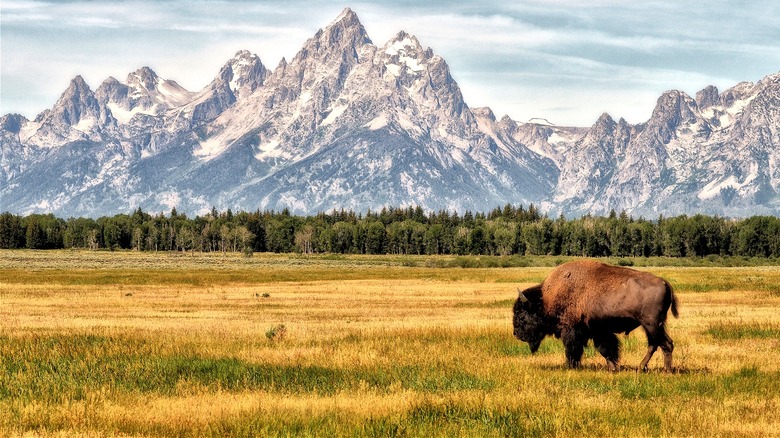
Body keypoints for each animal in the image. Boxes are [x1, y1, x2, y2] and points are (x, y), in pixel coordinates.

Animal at [512, 262, 676, 372]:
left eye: (521, 315)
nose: (516, 334)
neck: (546, 299)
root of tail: (664, 282)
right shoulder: (599, 331)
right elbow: (607, 349)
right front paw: (613, 368)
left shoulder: (572, 331)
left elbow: (574, 349)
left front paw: (570, 366)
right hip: (649, 326)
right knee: (654, 344)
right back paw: (641, 367)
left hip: (652, 324)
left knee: (666, 344)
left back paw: (666, 371)